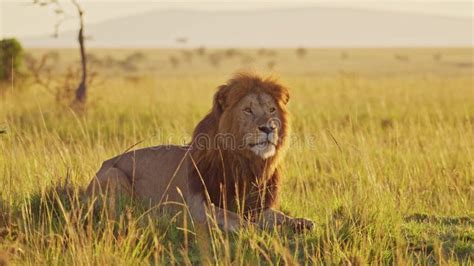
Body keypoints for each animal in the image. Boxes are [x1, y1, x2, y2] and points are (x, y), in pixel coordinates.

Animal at [86, 74, 312, 232]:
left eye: (272, 110)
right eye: (248, 110)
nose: (269, 128)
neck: (247, 163)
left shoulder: (258, 205)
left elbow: (277, 215)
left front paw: (300, 222)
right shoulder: (198, 205)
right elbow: (232, 217)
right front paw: (254, 229)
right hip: (114, 175)